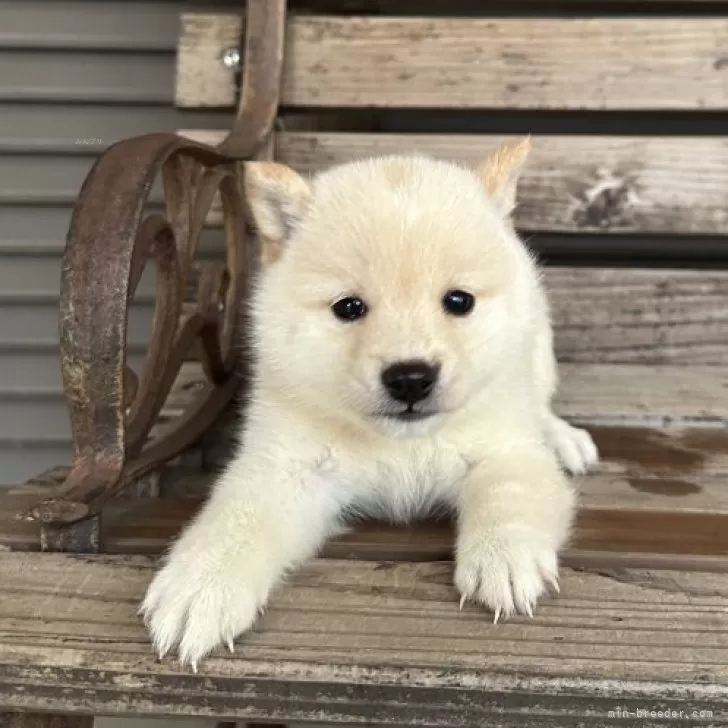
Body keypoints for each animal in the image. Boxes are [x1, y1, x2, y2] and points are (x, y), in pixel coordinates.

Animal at [141, 136, 596, 664]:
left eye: (459, 301)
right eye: (349, 308)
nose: (410, 378)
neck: (400, 446)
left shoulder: (507, 449)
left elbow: (508, 495)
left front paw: (503, 558)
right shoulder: (286, 468)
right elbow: (234, 523)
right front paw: (199, 587)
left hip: (538, 349)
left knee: (540, 404)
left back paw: (564, 437)